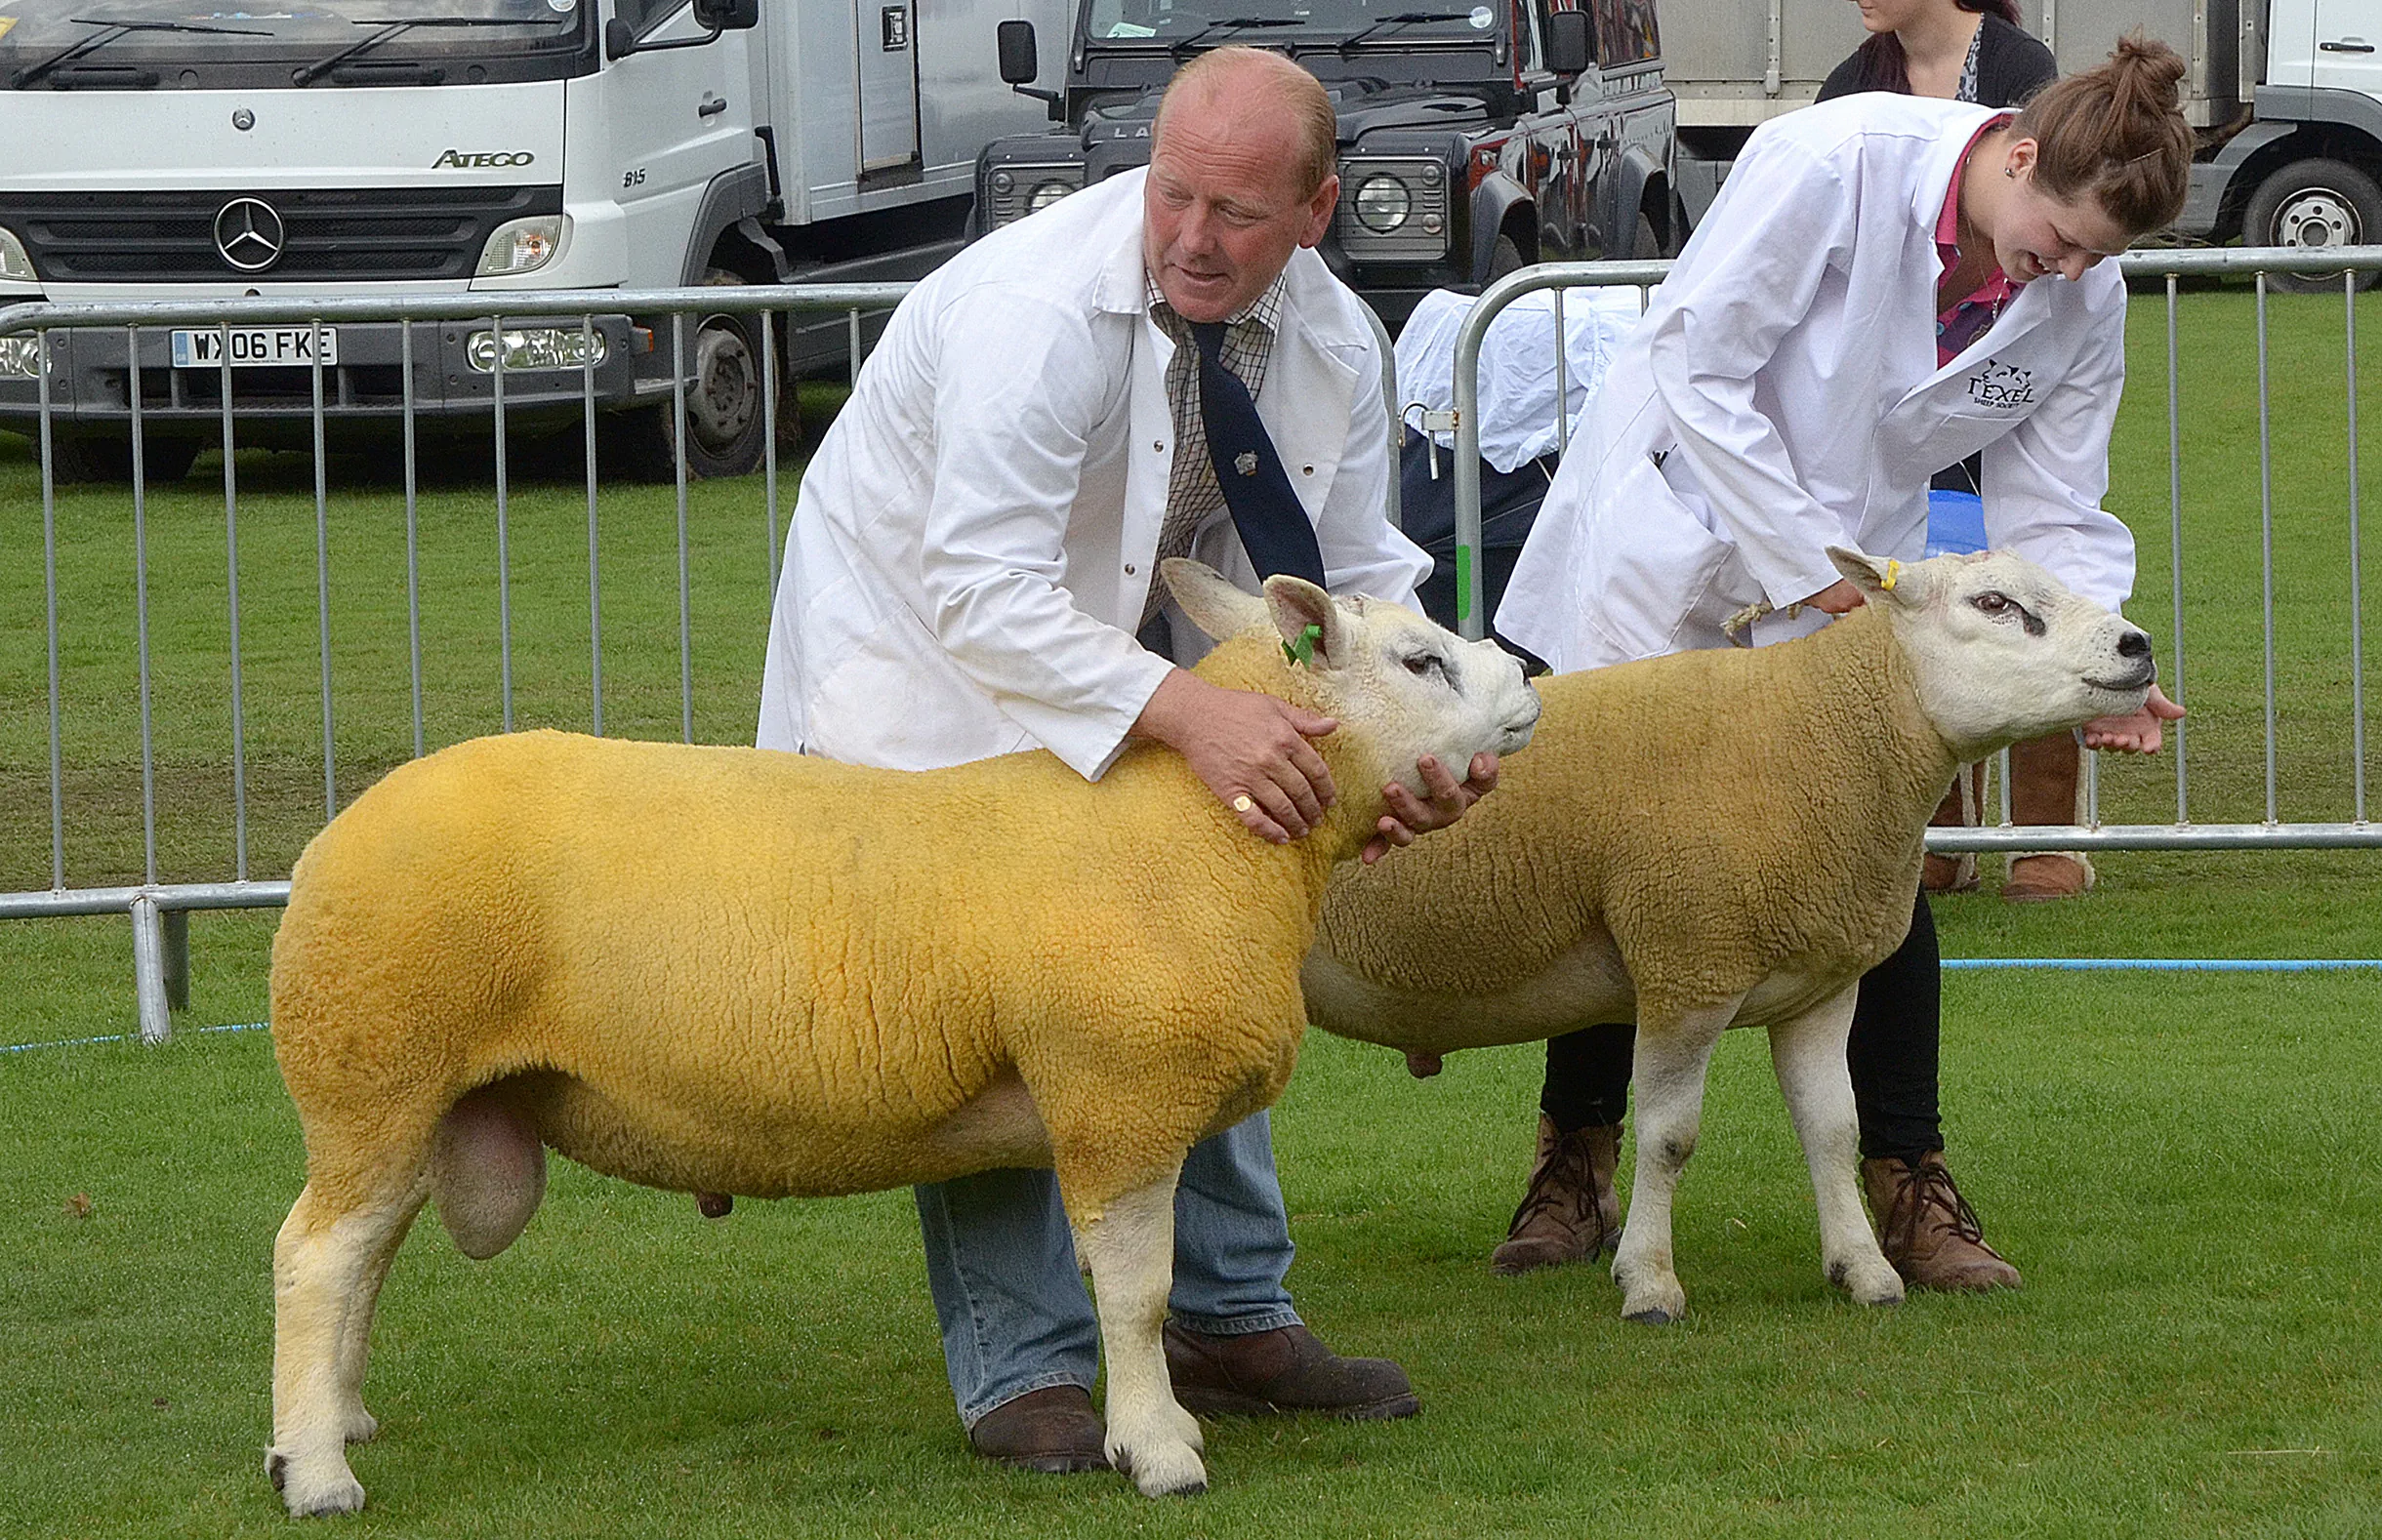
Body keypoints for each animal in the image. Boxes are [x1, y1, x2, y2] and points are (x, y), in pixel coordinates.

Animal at [261, 559, 1543, 1514]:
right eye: (1422, 661)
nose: (1530, 677)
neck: (1201, 831)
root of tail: (331, 840)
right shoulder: (1116, 1095)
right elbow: (1136, 1293)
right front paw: (1158, 1451)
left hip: (405, 1093)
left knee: (364, 1255)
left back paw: (331, 1422)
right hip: (373, 1066)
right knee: (316, 1258)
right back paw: (317, 1474)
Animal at [1305, 551, 2162, 1323]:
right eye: (1993, 603)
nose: (2138, 646)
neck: (1819, 733)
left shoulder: (1821, 985)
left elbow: (1833, 1129)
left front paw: (1863, 1268)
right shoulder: (1688, 968)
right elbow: (1669, 1139)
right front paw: (1650, 1284)